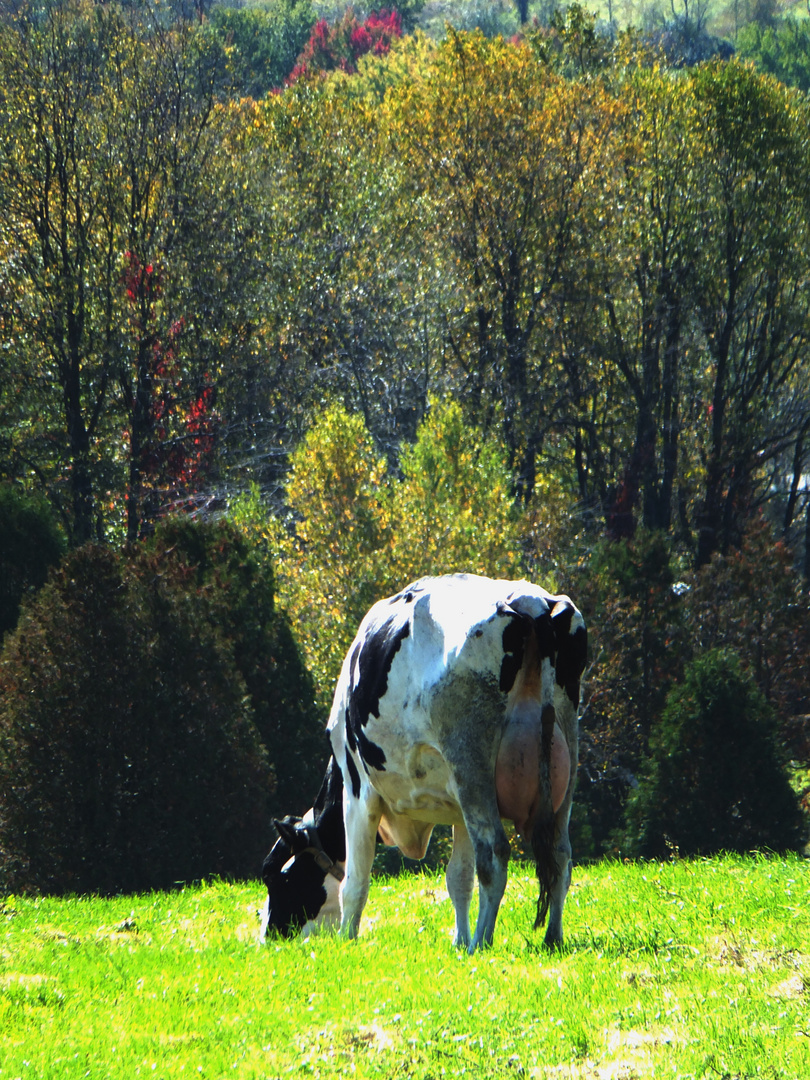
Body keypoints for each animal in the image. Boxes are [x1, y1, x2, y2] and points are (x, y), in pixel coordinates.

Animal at [263, 574, 587, 954]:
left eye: (273, 876)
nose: (267, 937)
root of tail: (529, 601)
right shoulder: (457, 806)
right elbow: (458, 878)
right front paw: (459, 941)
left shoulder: (358, 788)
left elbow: (355, 881)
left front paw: (347, 941)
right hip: (564, 753)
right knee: (559, 854)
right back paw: (552, 937)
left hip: (470, 760)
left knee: (494, 852)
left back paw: (482, 942)